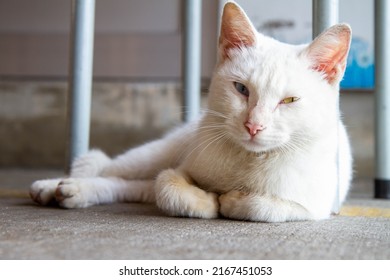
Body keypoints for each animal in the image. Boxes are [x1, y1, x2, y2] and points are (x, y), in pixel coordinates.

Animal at [31, 1, 354, 222]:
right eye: (241, 89)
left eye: (289, 101)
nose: (253, 126)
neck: (248, 159)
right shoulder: (181, 167)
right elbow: (167, 185)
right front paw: (207, 201)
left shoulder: (317, 205)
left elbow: (266, 206)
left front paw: (234, 200)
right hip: (159, 152)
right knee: (115, 171)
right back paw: (56, 186)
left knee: (129, 185)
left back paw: (69, 191)